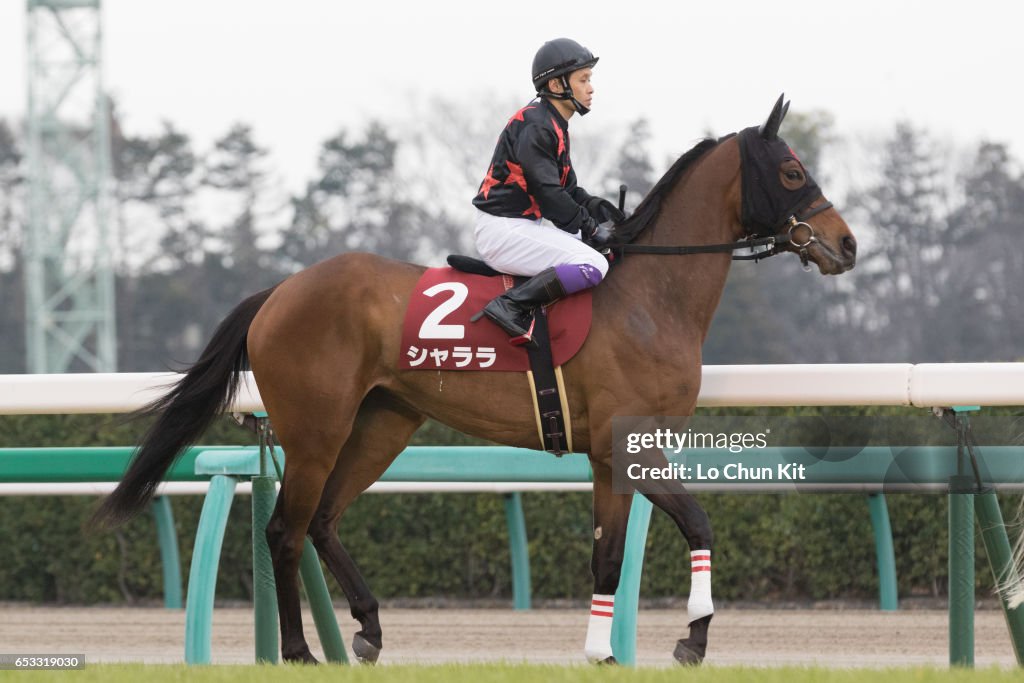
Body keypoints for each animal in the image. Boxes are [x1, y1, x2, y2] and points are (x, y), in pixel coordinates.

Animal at [92, 97, 856, 667]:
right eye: (793, 172)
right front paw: (692, 636)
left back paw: (368, 629)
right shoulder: (628, 443)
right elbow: (694, 522)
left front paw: (604, 649)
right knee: (286, 528)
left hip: (384, 422)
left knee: (325, 520)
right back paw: (301, 652)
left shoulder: (613, 455)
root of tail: (279, 292)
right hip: (315, 432)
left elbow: (609, 555)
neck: (647, 298)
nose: (846, 244)